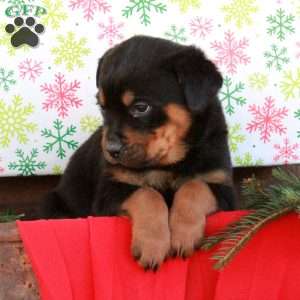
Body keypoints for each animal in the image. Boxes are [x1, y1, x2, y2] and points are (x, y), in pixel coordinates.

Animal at [40, 34, 237, 270]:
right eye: (102, 107)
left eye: (141, 107)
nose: (111, 150)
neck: (166, 164)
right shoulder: (110, 190)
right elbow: (147, 194)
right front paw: (152, 246)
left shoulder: (223, 186)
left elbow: (195, 186)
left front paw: (183, 235)